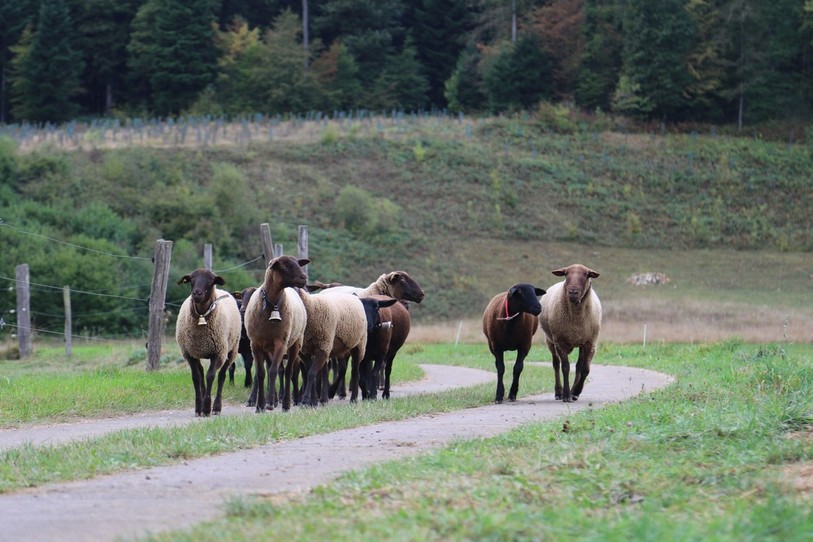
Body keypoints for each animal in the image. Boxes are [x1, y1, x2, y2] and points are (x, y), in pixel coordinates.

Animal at [175, 268, 242, 416]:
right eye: (191, 279)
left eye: (211, 280)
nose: (197, 293)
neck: (202, 316)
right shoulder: (189, 353)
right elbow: (196, 378)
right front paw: (198, 407)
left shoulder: (218, 352)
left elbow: (210, 376)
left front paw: (206, 408)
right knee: (201, 373)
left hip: (231, 349)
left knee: (222, 375)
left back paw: (216, 407)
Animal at [243, 256, 309, 412]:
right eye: (283, 266)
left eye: (298, 263)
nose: (304, 278)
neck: (272, 305)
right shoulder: (255, 344)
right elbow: (261, 373)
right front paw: (260, 405)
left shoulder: (281, 341)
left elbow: (273, 371)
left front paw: (268, 404)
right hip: (268, 347)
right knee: (274, 368)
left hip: (295, 343)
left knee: (289, 372)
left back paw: (286, 403)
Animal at [537, 264, 602, 403]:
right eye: (566, 274)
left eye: (586, 274)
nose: (572, 292)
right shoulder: (560, 341)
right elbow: (565, 368)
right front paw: (566, 395)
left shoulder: (590, 342)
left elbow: (585, 369)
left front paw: (575, 392)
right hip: (550, 341)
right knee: (556, 365)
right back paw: (558, 392)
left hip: (580, 343)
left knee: (578, 367)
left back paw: (573, 392)